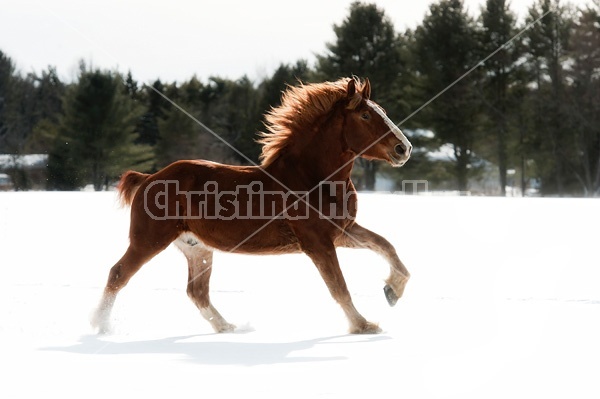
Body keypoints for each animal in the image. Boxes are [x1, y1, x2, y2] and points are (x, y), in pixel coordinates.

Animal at [92, 77, 412, 334]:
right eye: (366, 114)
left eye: (381, 112)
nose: (404, 148)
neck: (312, 178)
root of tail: (148, 178)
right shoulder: (317, 242)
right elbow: (339, 286)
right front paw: (364, 325)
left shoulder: (341, 232)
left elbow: (385, 246)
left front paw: (392, 291)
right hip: (149, 239)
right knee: (118, 274)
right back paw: (100, 325)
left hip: (197, 248)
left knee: (197, 291)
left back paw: (228, 327)